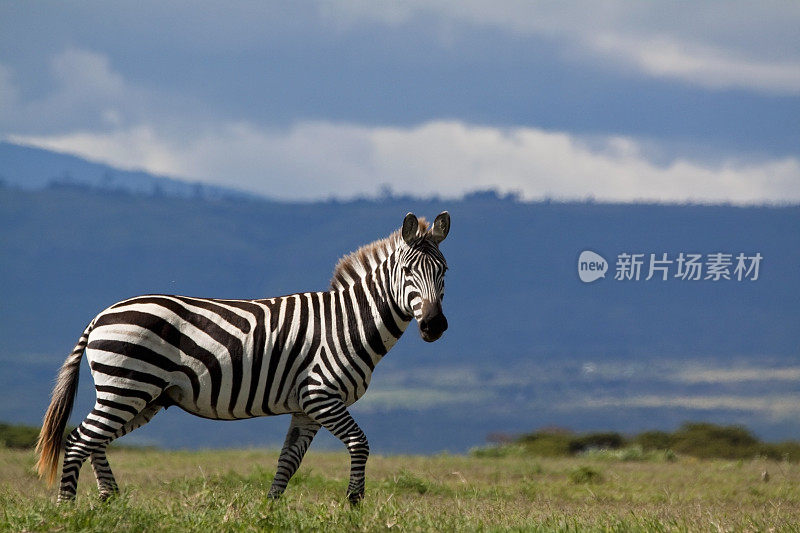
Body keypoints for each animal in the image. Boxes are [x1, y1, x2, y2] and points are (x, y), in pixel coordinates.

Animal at [36, 211, 450, 502]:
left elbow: (288, 461)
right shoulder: (322, 396)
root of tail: (101, 315)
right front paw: (354, 503)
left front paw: (270, 509)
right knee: (79, 441)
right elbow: (360, 443)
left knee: (94, 441)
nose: (434, 326)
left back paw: (109, 500)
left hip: (143, 397)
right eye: (408, 270)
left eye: (445, 270)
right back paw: (68, 509)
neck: (347, 323)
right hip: (126, 387)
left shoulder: (306, 407)